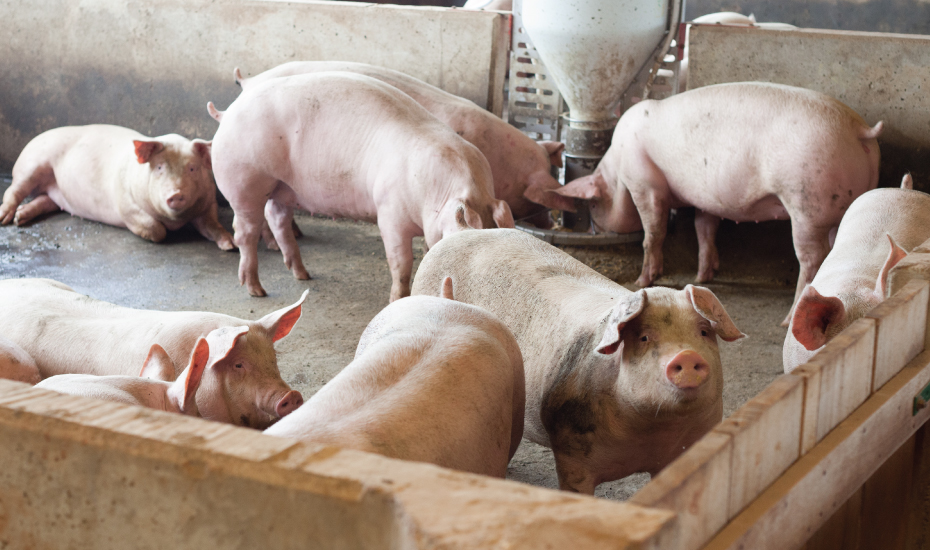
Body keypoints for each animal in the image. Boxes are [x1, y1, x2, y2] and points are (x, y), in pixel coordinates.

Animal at [0, 125, 234, 250]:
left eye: (192, 168)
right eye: (159, 167)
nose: (175, 193)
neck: (175, 221)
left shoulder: (209, 202)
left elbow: (212, 224)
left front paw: (230, 245)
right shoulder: (125, 204)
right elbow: (155, 228)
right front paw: (161, 233)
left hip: (55, 192)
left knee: (45, 200)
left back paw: (20, 217)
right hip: (30, 164)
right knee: (14, 189)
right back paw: (7, 219)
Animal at [209, 72, 514, 301]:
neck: (439, 191)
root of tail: (227, 113)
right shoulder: (389, 213)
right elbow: (401, 264)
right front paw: (396, 300)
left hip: (282, 187)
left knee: (277, 219)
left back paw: (303, 274)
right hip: (244, 181)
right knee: (245, 232)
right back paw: (256, 290)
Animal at [411, 225, 744, 493]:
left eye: (703, 332)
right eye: (644, 338)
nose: (686, 355)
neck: (650, 432)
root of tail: (463, 229)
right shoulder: (572, 453)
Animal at [537, 82, 882, 326]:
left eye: (595, 205)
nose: (596, 226)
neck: (618, 169)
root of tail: (859, 129)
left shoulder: (646, 185)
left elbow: (654, 232)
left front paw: (642, 280)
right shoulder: (705, 201)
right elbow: (705, 230)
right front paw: (704, 276)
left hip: (806, 203)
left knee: (810, 260)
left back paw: (788, 320)